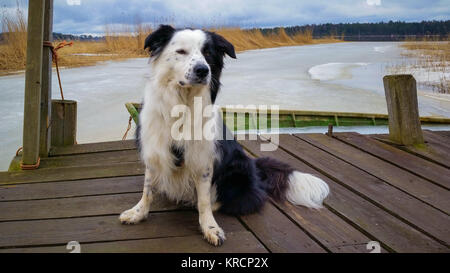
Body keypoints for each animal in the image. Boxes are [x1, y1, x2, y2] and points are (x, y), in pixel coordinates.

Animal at [119, 25, 328, 245]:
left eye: (208, 53)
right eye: (181, 52)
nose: (203, 70)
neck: (182, 104)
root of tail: (254, 166)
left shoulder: (203, 160)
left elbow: (203, 201)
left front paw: (209, 227)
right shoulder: (154, 151)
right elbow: (147, 189)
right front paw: (138, 213)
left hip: (237, 170)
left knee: (241, 199)